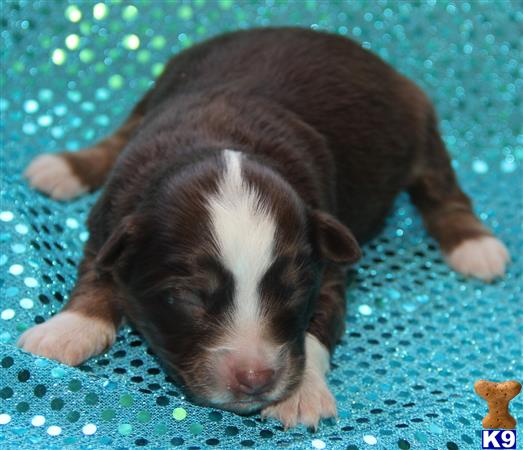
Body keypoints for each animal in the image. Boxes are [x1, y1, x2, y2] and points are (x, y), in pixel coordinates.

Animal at [18, 26, 510, 428]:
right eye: (189, 298)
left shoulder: (328, 264)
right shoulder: (112, 219)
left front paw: (302, 393)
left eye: (293, 291)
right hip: (154, 92)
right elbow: (96, 273)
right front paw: (66, 329)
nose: (256, 378)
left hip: (420, 123)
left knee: (442, 188)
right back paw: (63, 168)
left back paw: (476, 246)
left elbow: (320, 322)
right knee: (118, 135)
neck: (220, 138)